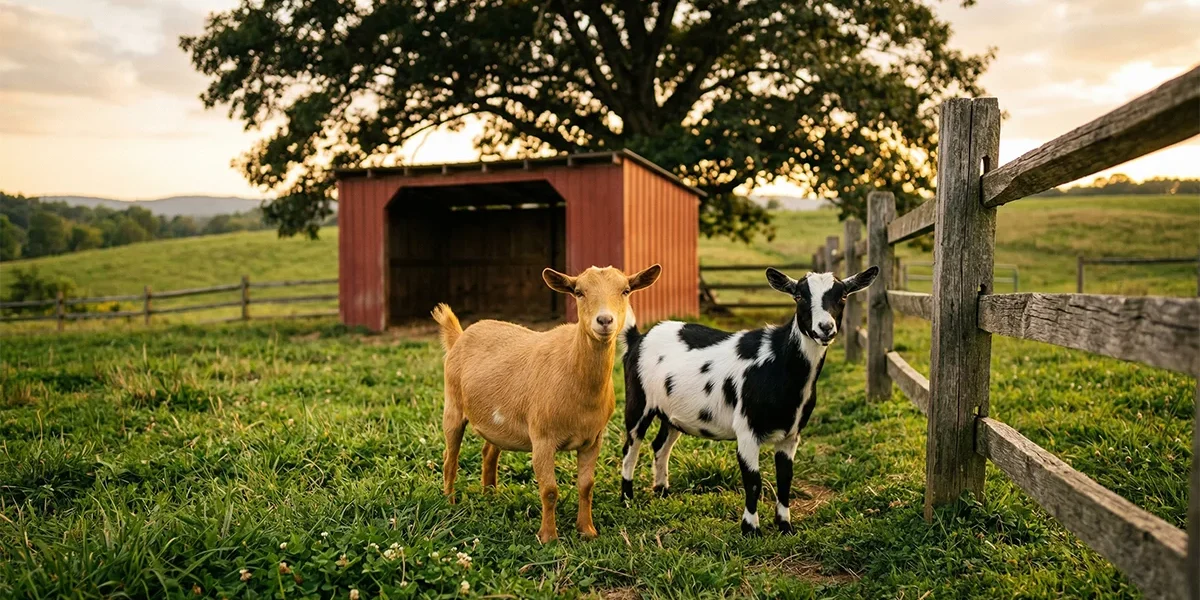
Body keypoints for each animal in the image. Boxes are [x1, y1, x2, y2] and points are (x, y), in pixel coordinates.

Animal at [433, 264, 661, 543]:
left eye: (626, 290)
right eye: (578, 292)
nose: (605, 321)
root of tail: (460, 336)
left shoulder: (593, 439)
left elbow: (586, 486)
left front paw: (587, 530)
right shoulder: (542, 438)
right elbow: (550, 490)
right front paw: (549, 537)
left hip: (496, 420)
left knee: (489, 452)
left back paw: (490, 496)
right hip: (453, 405)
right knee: (450, 456)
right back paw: (449, 502)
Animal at [620, 265, 878, 535]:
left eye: (843, 296)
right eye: (799, 296)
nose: (825, 328)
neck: (779, 363)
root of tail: (638, 338)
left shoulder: (791, 435)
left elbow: (785, 478)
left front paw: (785, 526)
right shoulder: (747, 431)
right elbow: (753, 480)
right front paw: (750, 529)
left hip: (671, 414)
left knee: (660, 445)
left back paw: (662, 492)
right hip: (638, 402)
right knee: (631, 447)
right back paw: (627, 498)